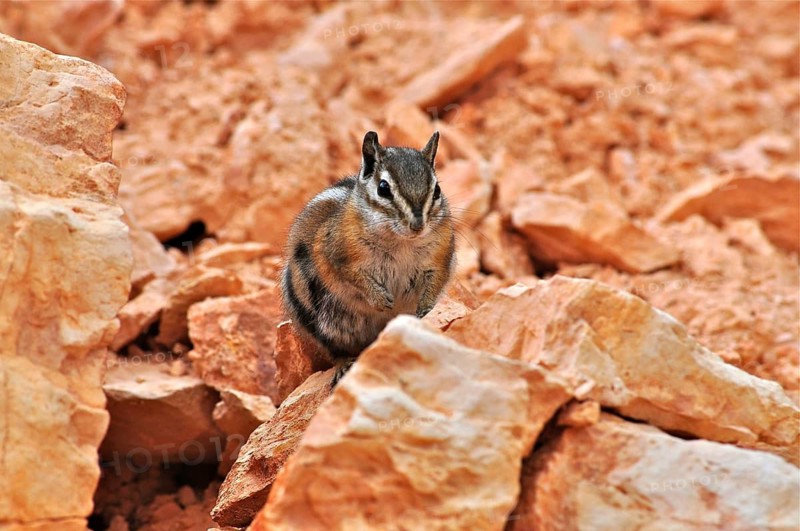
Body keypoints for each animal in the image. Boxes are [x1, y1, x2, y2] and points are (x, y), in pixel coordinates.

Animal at [281, 130, 455, 385]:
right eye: (383, 188)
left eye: (437, 191)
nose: (417, 225)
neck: (401, 242)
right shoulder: (335, 255)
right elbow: (353, 277)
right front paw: (380, 298)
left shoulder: (440, 257)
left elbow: (436, 281)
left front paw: (425, 310)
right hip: (318, 319)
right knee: (334, 349)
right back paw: (344, 365)